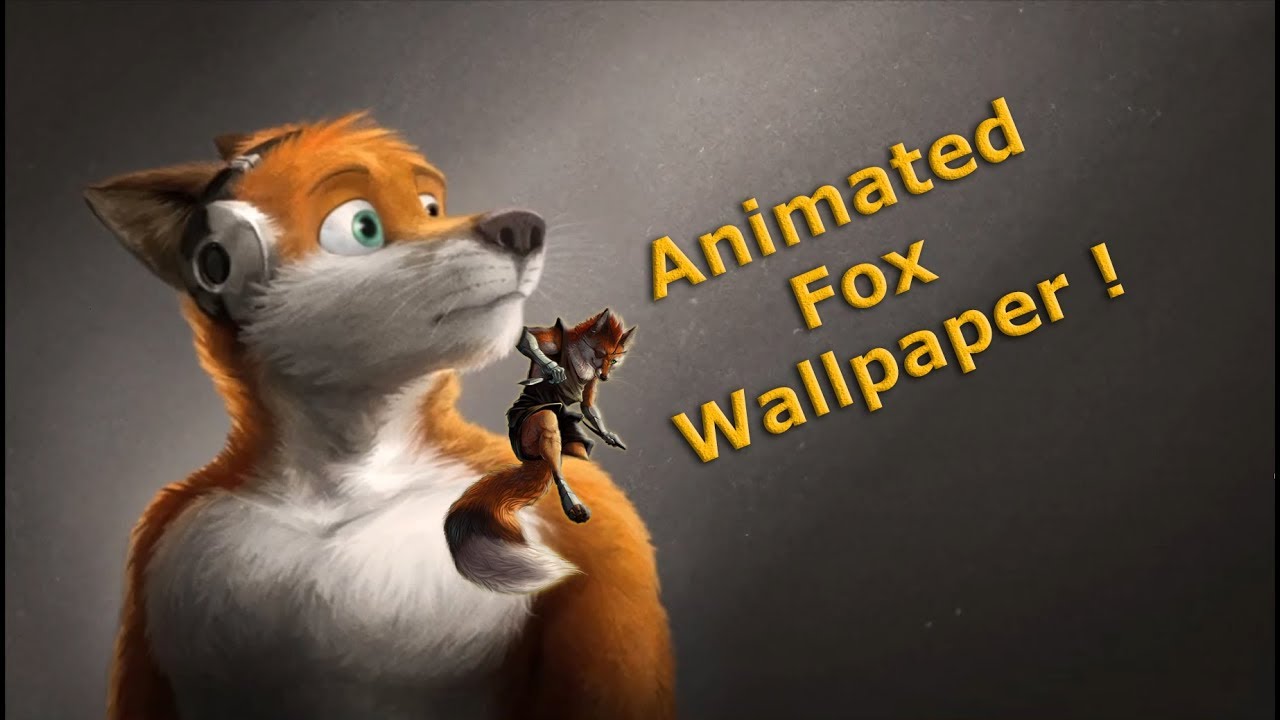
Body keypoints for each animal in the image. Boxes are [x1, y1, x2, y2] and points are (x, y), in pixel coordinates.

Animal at [83, 113, 674, 720]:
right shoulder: (167, 548)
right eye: (362, 227)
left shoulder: (608, 556)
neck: (346, 481)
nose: (522, 226)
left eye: (430, 208)